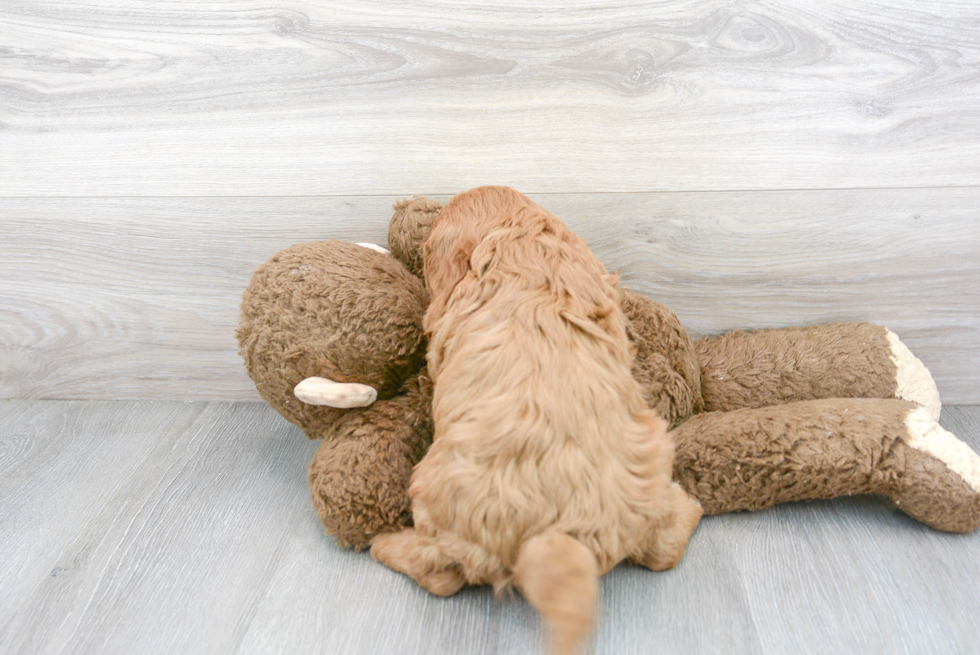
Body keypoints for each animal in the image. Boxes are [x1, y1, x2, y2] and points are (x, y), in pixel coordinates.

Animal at [372, 186, 700, 655]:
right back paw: (688, 506)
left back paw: (385, 543)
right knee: (664, 549)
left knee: (441, 573)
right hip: (649, 462)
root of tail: (562, 532)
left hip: (435, 493)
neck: (521, 243)